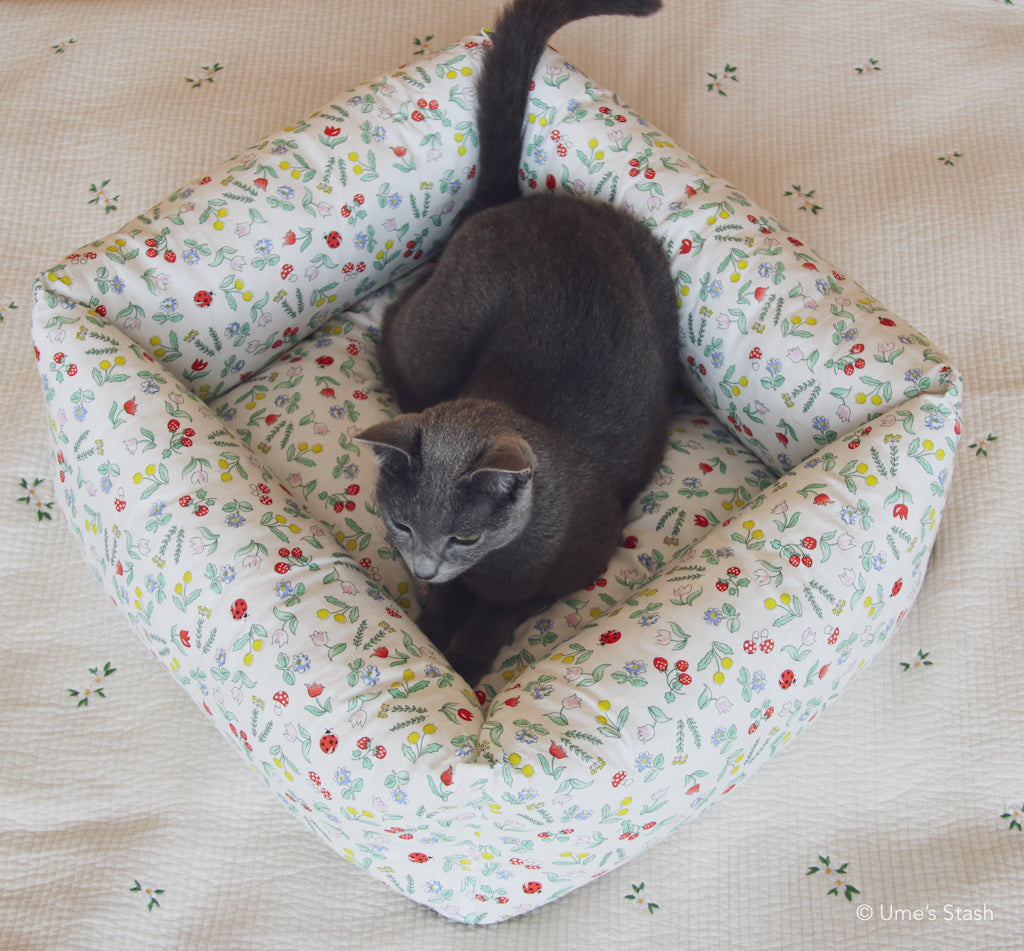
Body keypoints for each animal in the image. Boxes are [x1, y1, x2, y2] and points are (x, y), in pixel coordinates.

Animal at [356, 0, 675, 687]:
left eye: (465, 537)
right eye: (400, 525)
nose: (422, 567)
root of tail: (510, 203)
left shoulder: (577, 563)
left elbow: (500, 614)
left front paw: (465, 662)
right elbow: (452, 603)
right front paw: (434, 638)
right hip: (437, 336)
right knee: (394, 319)